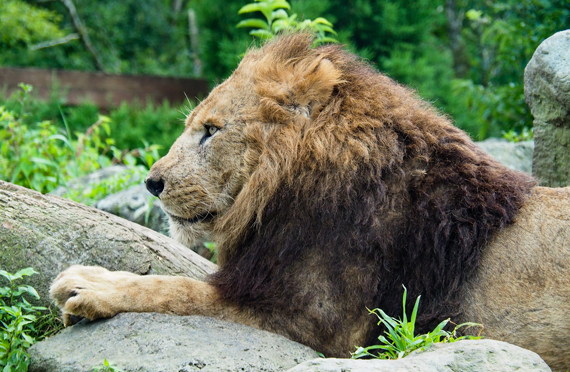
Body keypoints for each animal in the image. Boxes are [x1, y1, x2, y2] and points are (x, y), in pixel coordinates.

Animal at [50, 34, 568, 370]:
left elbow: (176, 290)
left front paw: (87, 285)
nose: (151, 182)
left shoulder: (320, 325)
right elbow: (181, 277)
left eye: (211, 130)